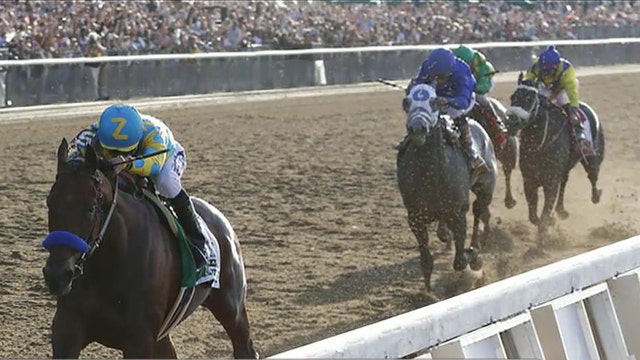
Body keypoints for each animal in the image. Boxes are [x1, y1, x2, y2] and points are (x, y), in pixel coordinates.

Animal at [42, 139, 260, 358]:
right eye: (50, 202)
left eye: (91, 207)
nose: (56, 275)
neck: (109, 265)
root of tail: (221, 219)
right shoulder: (67, 329)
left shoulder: (140, 339)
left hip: (232, 309)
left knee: (245, 347)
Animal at [396, 83, 500, 290]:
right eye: (407, 102)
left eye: (434, 101)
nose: (417, 128)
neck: (430, 174)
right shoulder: (415, 217)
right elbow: (426, 261)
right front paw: (427, 293)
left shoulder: (458, 213)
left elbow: (460, 260)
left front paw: (472, 255)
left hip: (486, 187)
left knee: (479, 212)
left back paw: (476, 250)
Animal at [504, 74, 604, 246]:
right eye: (513, 97)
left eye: (530, 98)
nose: (511, 122)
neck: (541, 141)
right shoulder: (529, 180)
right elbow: (533, 215)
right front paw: (549, 222)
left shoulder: (550, 181)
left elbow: (544, 213)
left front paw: (542, 240)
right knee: (565, 181)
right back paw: (561, 210)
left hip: (593, 157)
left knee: (592, 176)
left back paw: (596, 195)